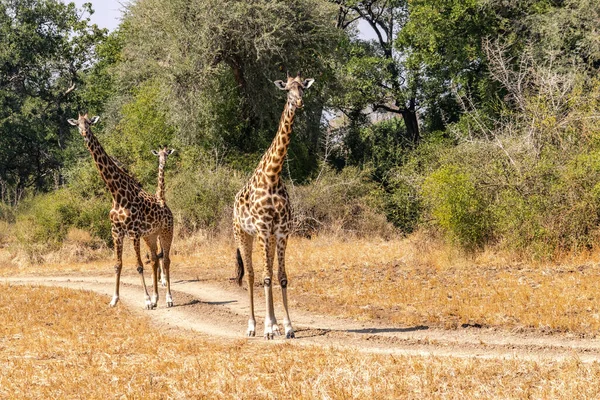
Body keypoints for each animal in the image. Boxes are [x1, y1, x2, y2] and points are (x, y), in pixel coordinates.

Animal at [69, 114, 176, 308]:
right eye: (77, 124)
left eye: (89, 123)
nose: (84, 133)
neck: (117, 195)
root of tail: (165, 205)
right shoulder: (116, 232)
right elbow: (117, 265)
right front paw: (114, 299)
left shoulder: (133, 232)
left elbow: (139, 265)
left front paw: (146, 300)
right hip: (150, 235)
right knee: (155, 259)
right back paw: (157, 299)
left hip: (166, 231)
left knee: (166, 259)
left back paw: (169, 299)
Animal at [232, 73, 314, 340]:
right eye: (287, 90)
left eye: (303, 88)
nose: (298, 102)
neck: (273, 174)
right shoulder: (262, 229)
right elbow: (266, 277)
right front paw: (268, 328)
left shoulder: (281, 231)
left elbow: (282, 277)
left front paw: (287, 327)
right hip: (243, 234)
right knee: (251, 274)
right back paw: (252, 326)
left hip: (264, 237)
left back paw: (274, 324)